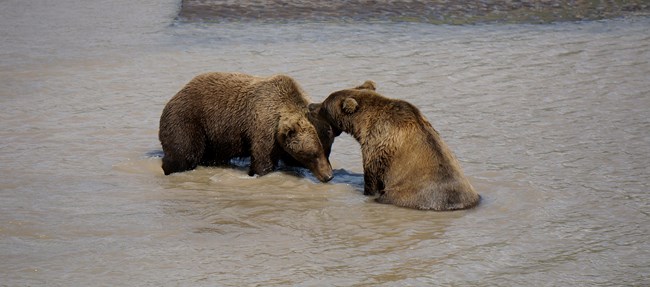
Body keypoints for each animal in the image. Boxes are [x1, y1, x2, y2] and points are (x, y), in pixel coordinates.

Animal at [160, 71, 336, 182]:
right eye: (313, 153)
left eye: (327, 150)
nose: (328, 176)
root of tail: (174, 96)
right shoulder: (263, 128)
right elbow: (262, 162)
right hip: (190, 121)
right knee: (183, 153)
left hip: (215, 139)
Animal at [316, 82, 478, 210]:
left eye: (324, 105)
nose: (312, 106)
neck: (362, 126)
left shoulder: (377, 146)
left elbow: (372, 179)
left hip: (404, 196)